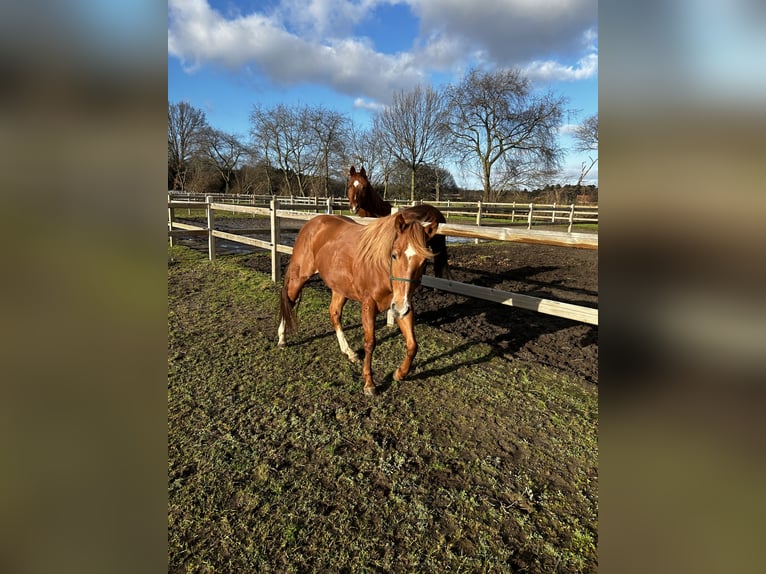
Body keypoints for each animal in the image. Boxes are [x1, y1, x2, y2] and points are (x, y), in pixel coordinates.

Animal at [278, 212, 438, 395]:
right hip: (299, 278)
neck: (381, 267)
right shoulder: (369, 304)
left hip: (340, 288)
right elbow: (370, 343)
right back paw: (282, 339)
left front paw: (400, 373)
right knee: (288, 302)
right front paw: (369, 383)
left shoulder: (403, 306)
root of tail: (311, 224)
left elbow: (412, 345)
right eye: (394, 255)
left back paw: (348, 351)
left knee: (334, 314)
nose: (400, 307)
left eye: (424, 262)